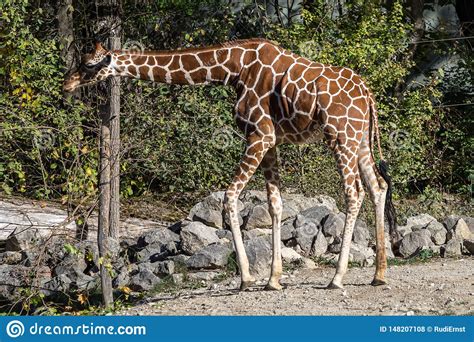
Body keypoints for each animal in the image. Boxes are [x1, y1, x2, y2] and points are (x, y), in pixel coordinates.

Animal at [63, 38, 396, 290]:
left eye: (89, 63)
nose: (67, 83)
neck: (233, 68)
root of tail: (368, 94)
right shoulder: (271, 140)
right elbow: (275, 204)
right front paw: (273, 280)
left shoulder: (259, 135)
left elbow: (230, 195)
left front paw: (247, 278)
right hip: (359, 140)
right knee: (378, 186)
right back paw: (379, 275)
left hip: (340, 136)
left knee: (354, 192)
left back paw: (337, 278)